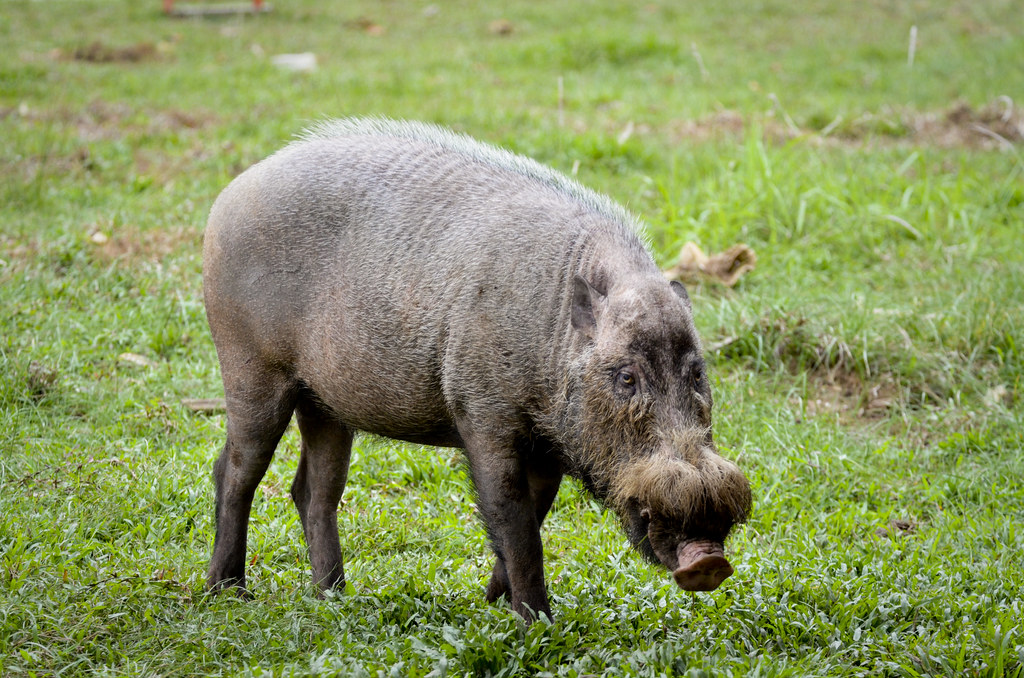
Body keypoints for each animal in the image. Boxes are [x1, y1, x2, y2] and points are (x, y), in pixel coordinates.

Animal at [202, 117, 752, 621]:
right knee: (235, 470)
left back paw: (335, 598)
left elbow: (533, 517)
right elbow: (516, 526)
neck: (551, 339)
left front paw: (493, 607)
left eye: (696, 373)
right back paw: (228, 594)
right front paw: (534, 623)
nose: (709, 560)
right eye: (626, 377)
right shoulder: (483, 415)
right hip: (251, 370)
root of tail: (229, 195)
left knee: (313, 491)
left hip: (325, 403)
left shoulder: (547, 449)